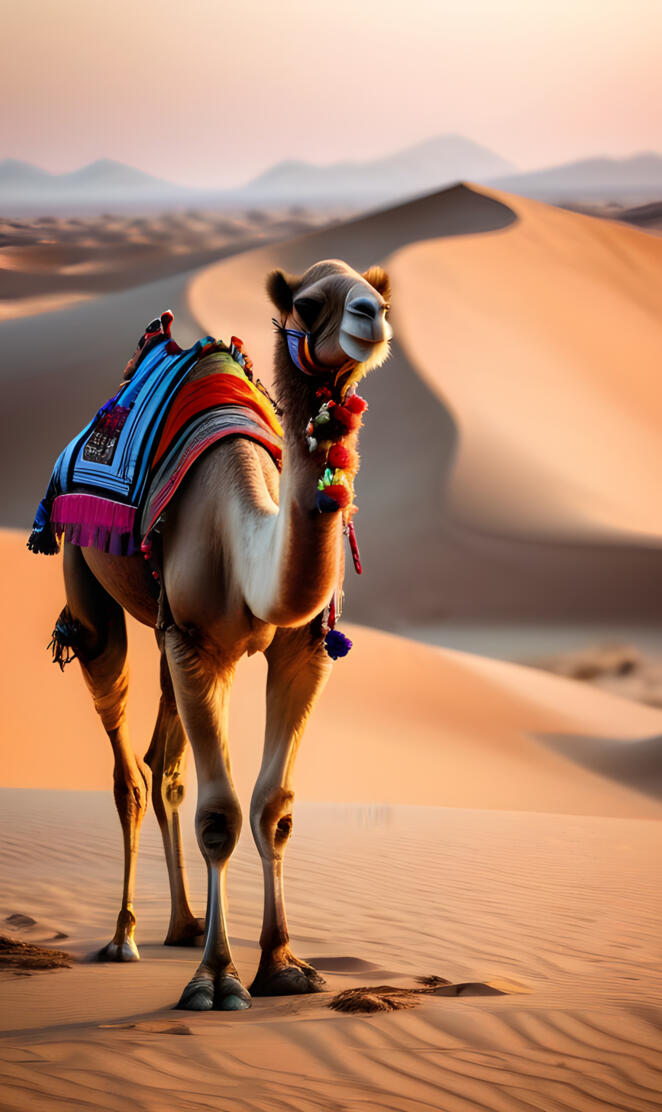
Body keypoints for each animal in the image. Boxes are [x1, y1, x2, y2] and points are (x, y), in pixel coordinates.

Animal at [55, 258, 392, 1010]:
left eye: (382, 297)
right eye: (309, 303)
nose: (371, 316)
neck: (248, 545)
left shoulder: (302, 652)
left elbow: (272, 811)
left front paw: (284, 965)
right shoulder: (198, 643)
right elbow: (220, 815)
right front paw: (216, 981)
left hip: (167, 637)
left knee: (164, 767)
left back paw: (183, 924)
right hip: (86, 577)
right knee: (128, 764)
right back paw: (125, 937)